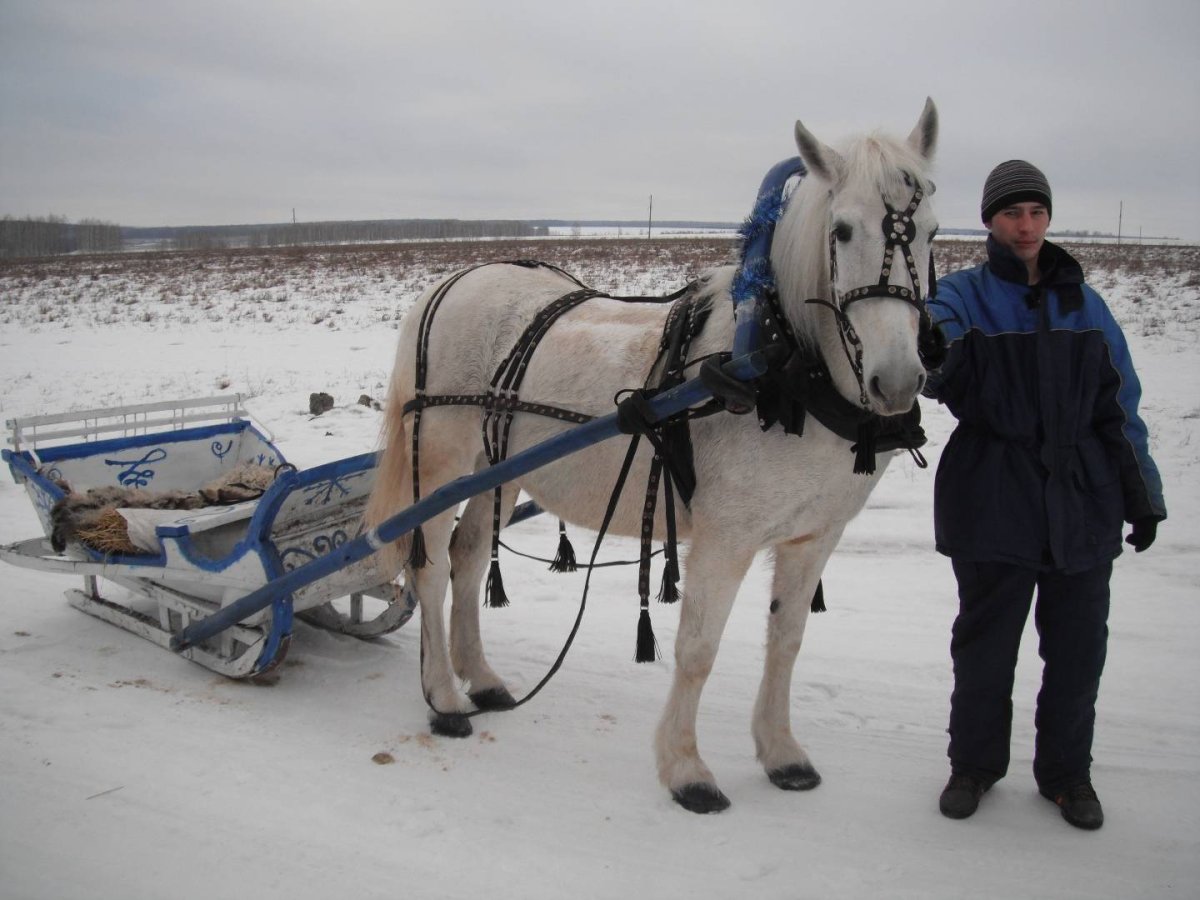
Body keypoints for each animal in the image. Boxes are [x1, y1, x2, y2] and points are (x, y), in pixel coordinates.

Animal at [365, 99, 939, 813]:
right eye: (841, 230)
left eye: (933, 232)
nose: (898, 382)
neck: (779, 369)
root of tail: (452, 281)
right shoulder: (725, 538)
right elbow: (697, 649)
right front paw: (686, 768)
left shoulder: (814, 537)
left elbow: (786, 643)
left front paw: (781, 753)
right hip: (442, 460)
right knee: (431, 568)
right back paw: (444, 697)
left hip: (496, 469)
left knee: (468, 561)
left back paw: (483, 679)